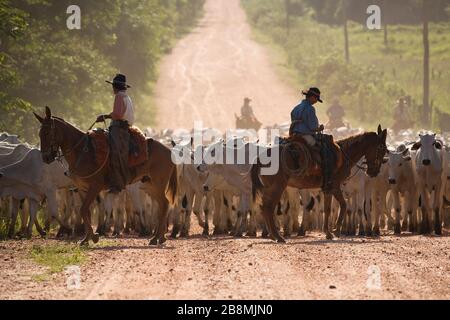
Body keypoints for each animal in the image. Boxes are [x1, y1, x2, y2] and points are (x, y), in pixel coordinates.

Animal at [33, 107, 178, 245]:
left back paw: (155, 237)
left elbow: (84, 209)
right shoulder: (82, 188)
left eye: (48, 133)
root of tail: (169, 150)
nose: (46, 157)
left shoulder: (95, 187)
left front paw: (93, 237)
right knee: (163, 204)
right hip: (150, 185)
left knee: (163, 204)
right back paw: (159, 237)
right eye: (40, 133)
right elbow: (86, 211)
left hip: (157, 184)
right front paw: (87, 238)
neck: (83, 151)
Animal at [250, 125, 386, 242]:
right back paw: (278, 237)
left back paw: (273, 235)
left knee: (264, 207)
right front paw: (334, 231)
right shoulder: (334, 185)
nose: (374, 172)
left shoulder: (327, 188)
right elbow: (341, 205)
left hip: (269, 188)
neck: (344, 154)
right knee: (268, 207)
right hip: (277, 187)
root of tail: (261, 157)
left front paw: (329, 232)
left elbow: (329, 208)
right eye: (382, 149)